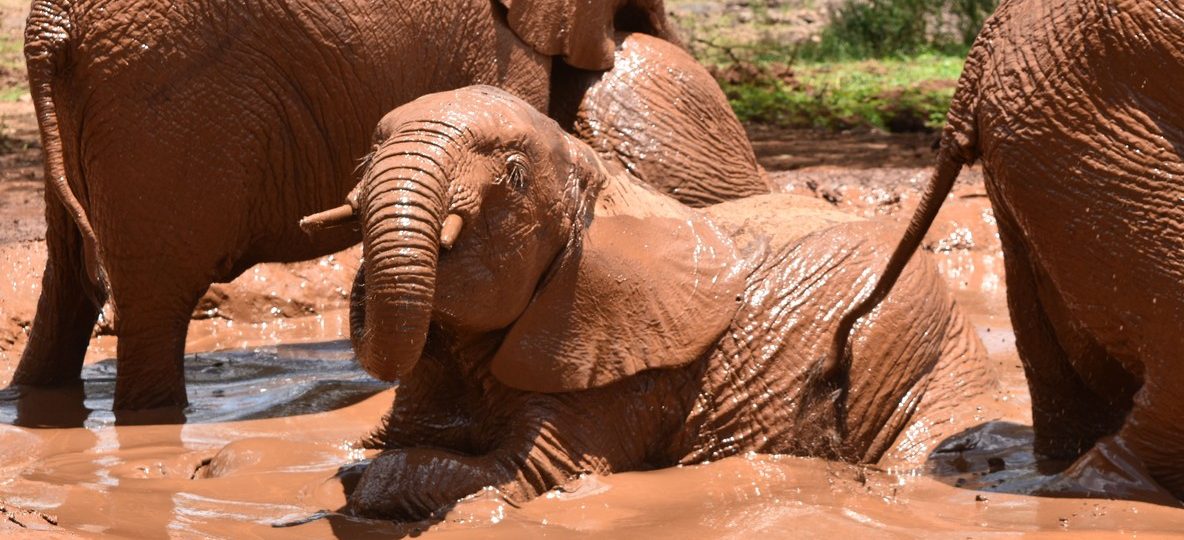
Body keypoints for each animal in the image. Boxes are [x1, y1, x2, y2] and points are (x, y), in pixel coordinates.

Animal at [309, 86, 998, 520]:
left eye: (513, 177)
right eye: (369, 153)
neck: (600, 181)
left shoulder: (614, 371)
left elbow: (527, 473)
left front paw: (368, 483)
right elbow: (368, 445)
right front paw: (352, 465)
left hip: (919, 350)